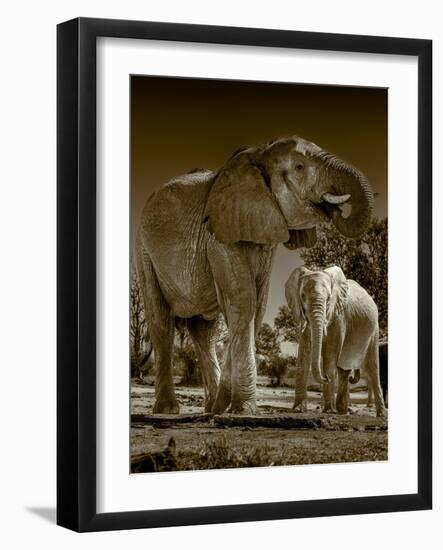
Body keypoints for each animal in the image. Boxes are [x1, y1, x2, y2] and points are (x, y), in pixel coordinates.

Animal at [135, 137, 374, 414]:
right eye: (300, 167)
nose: (333, 208)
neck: (258, 155)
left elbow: (257, 305)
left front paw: (227, 407)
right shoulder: (220, 234)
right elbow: (244, 300)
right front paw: (243, 409)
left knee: (204, 332)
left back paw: (210, 408)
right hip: (144, 252)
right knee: (161, 323)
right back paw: (168, 410)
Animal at [286, 266, 386, 418]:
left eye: (328, 298)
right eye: (302, 296)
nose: (325, 378)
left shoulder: (339, 316)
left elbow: (330, 354)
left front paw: (328, 410)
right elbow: (303, 353)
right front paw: (298, 410)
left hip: (374, 330)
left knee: (373, 367)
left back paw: (381, 414)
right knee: (344, 368)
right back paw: (343, 411)